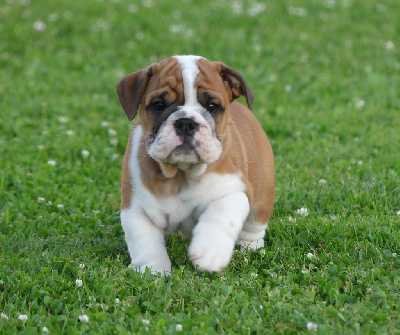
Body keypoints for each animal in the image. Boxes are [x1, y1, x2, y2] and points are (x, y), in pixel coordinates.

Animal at [115, 55, 276, 276]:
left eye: (212, 106)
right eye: (158, 104)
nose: (185, 123)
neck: (180, 173)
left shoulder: (233, 190)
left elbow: (220, 215)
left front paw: (211, 251)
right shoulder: (137, 208)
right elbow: (145, 242)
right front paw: (153, 272)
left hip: (262, 199)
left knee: (253, 228)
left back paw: (249, 250)